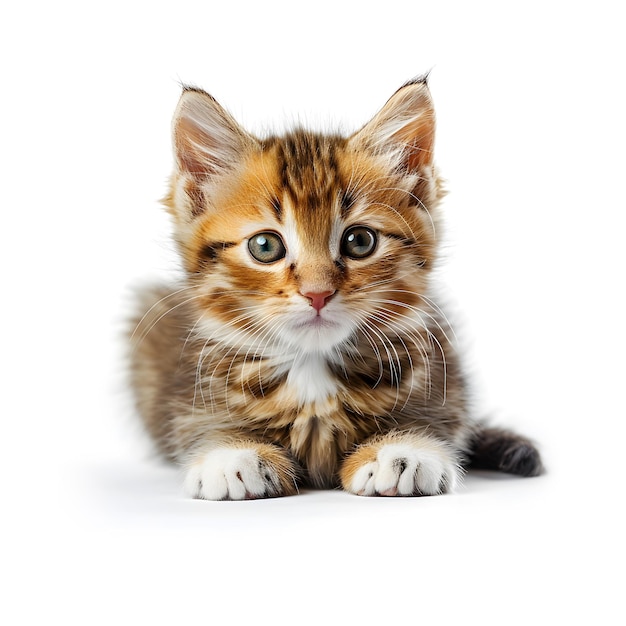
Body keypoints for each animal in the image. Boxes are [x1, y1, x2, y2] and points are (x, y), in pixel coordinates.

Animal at [130, 77, 540, 498]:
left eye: (360, 241)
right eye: (265, 246)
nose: (317, 294)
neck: (310, 369)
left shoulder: (443, 376)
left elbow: (433, 416)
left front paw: (402, 448)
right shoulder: (190, 390)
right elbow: (204, 424)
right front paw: (233, 453)